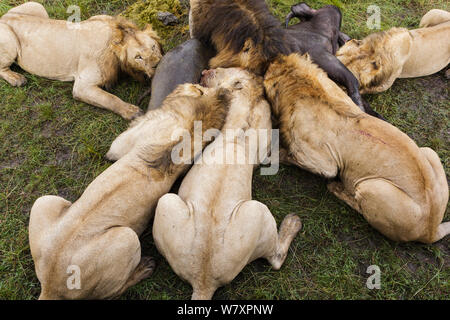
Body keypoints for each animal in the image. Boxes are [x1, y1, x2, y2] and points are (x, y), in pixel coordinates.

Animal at [0, 1, 162, 119]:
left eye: (153, 47)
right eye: (138, 57)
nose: (158, 64)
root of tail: (3, 17)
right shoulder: (82, 86)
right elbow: (110, 99)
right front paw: (132, 111)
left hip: (37, 6)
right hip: (11, 41)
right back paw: (16, 79)